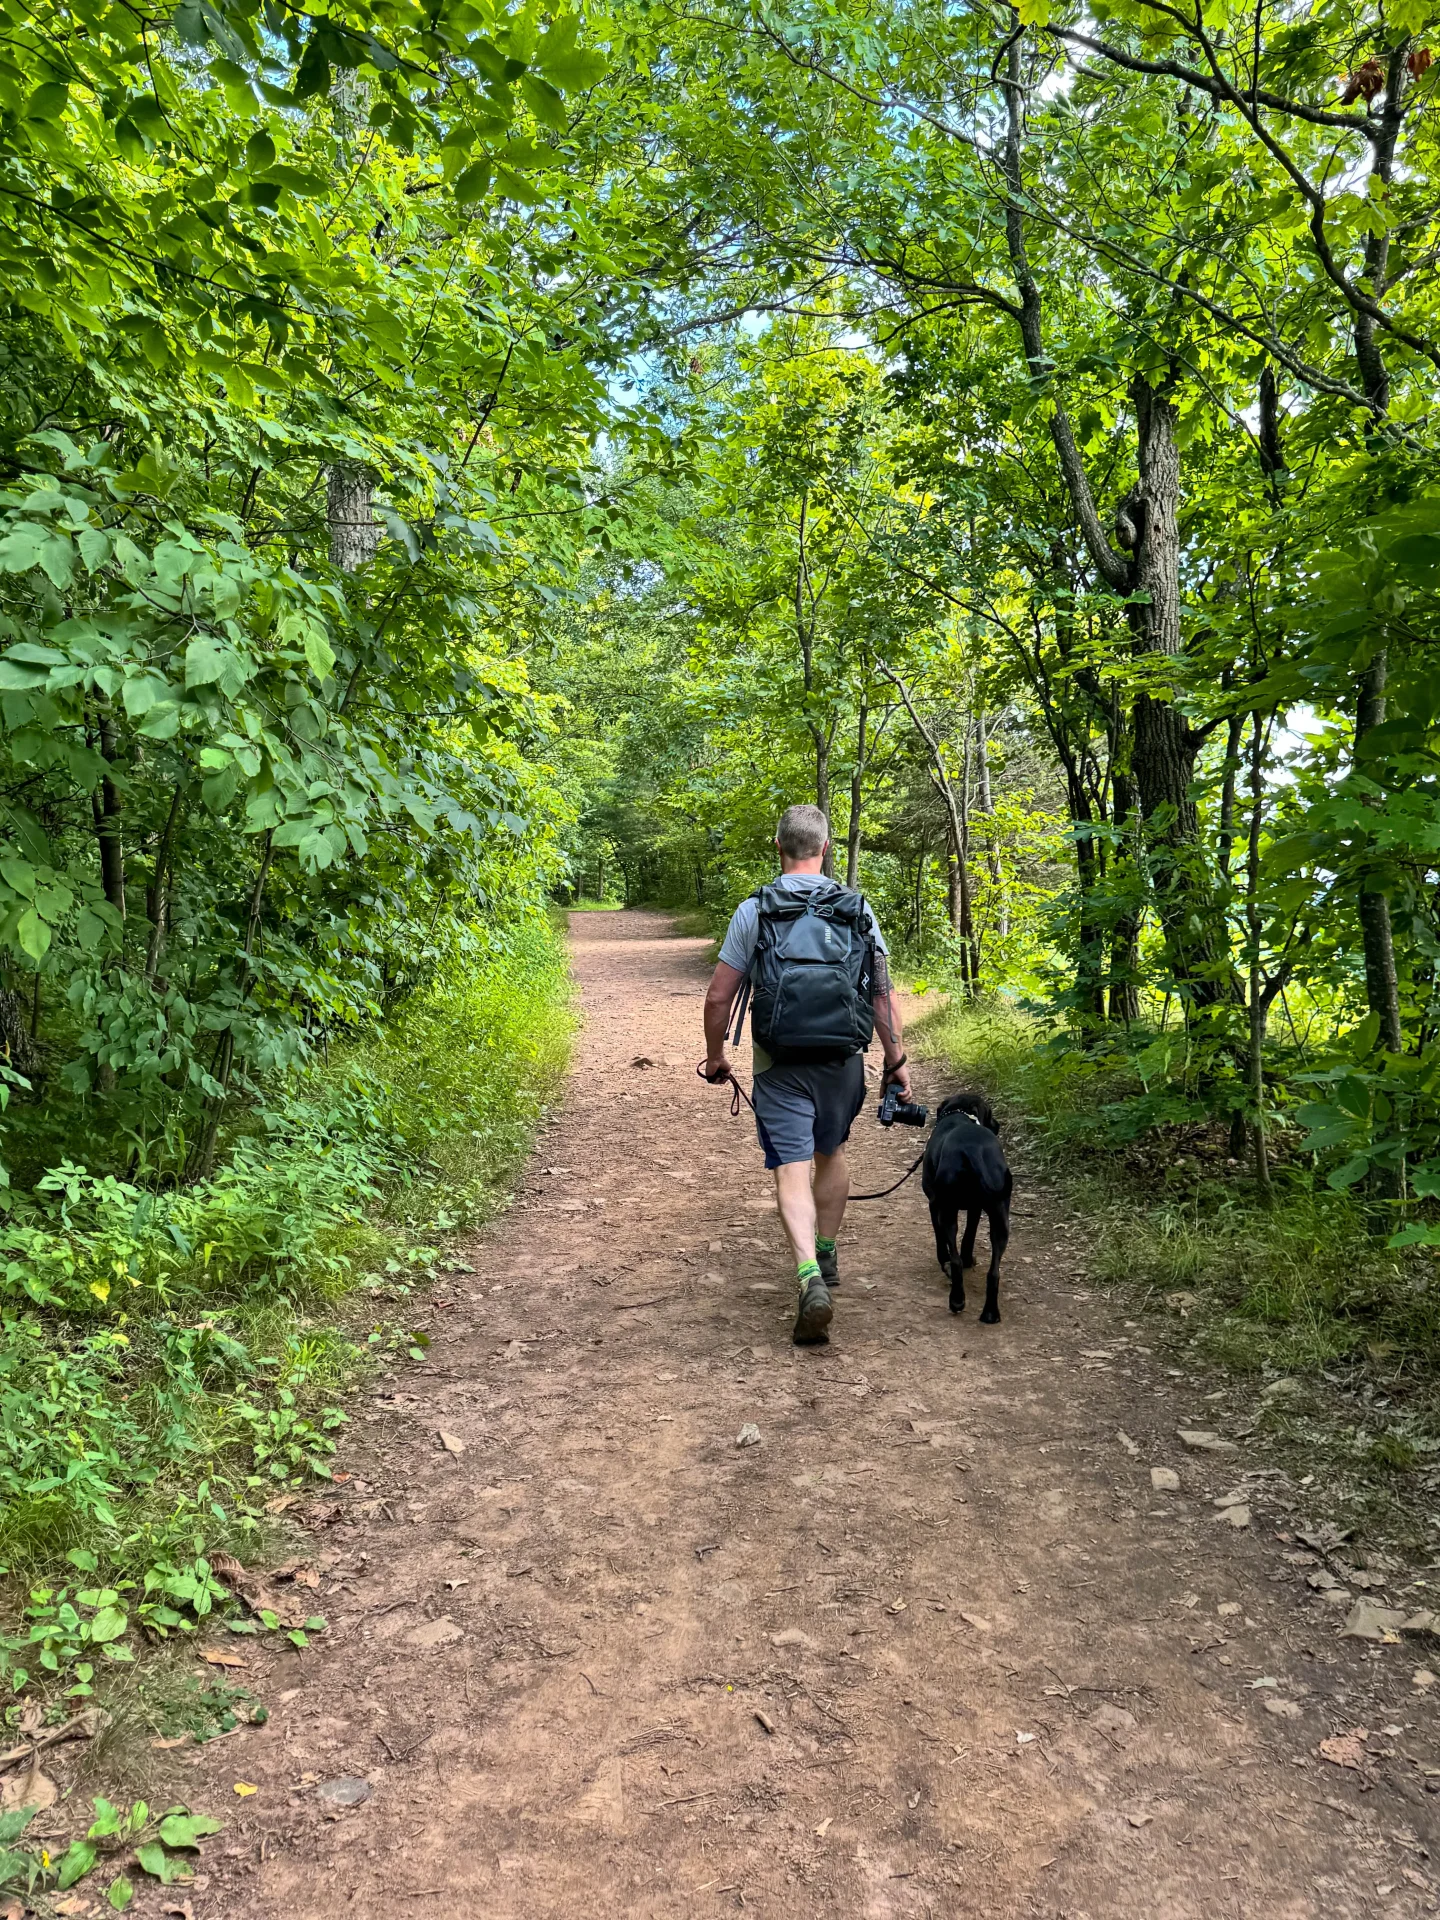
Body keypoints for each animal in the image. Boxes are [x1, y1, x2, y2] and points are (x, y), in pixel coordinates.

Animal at [925, 1098, 1013, 1320]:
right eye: (990, 1113)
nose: (998, 1125)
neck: (961, 1114)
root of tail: (973, 1149)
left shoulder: (934, 1204)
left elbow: (942, 1243)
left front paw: (945, 1262)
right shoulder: (976, 1208)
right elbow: (969, 1236)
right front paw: (968, 1259)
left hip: (947, 1211)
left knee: (954, 1259)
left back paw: (956, 1300)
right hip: (1000, 1218)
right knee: (994, 1272)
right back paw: (990, 1313)